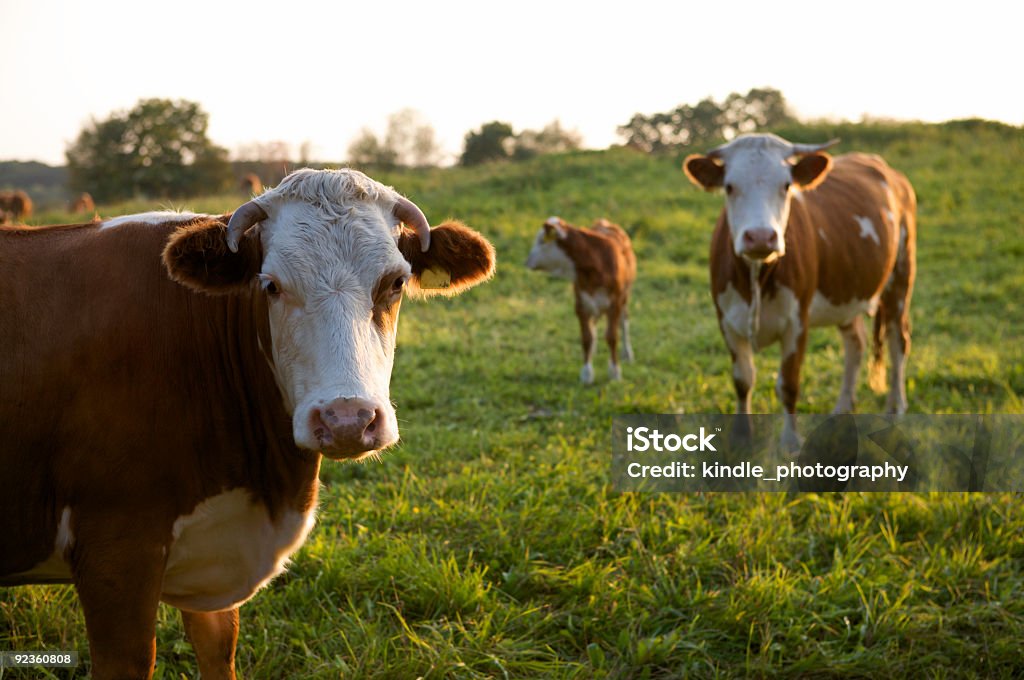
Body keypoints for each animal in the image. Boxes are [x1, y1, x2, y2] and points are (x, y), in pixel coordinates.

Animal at [524, 219, 634, 385]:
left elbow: (612, 337)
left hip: (624, 298)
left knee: (624, 323)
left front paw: (615, 372)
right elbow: (586, 338)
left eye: (542, 241)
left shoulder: (614, 304)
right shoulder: (581, 305)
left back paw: (627, 353)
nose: (527, 261)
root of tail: (604, 221)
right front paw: (587, 373)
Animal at [684, 135, 917, 448]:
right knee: (856, 343)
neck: (756, 278)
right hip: (846, 291)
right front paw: (742, 435)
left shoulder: (797, 323)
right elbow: (743, 379)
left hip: (900, 277)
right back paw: (842, 408)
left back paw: (895, 408)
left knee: (897, 341)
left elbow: (788, 384)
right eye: (730, 186)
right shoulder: (726, 320)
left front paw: (791, 442)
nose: (761, 236)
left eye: (786, 186)